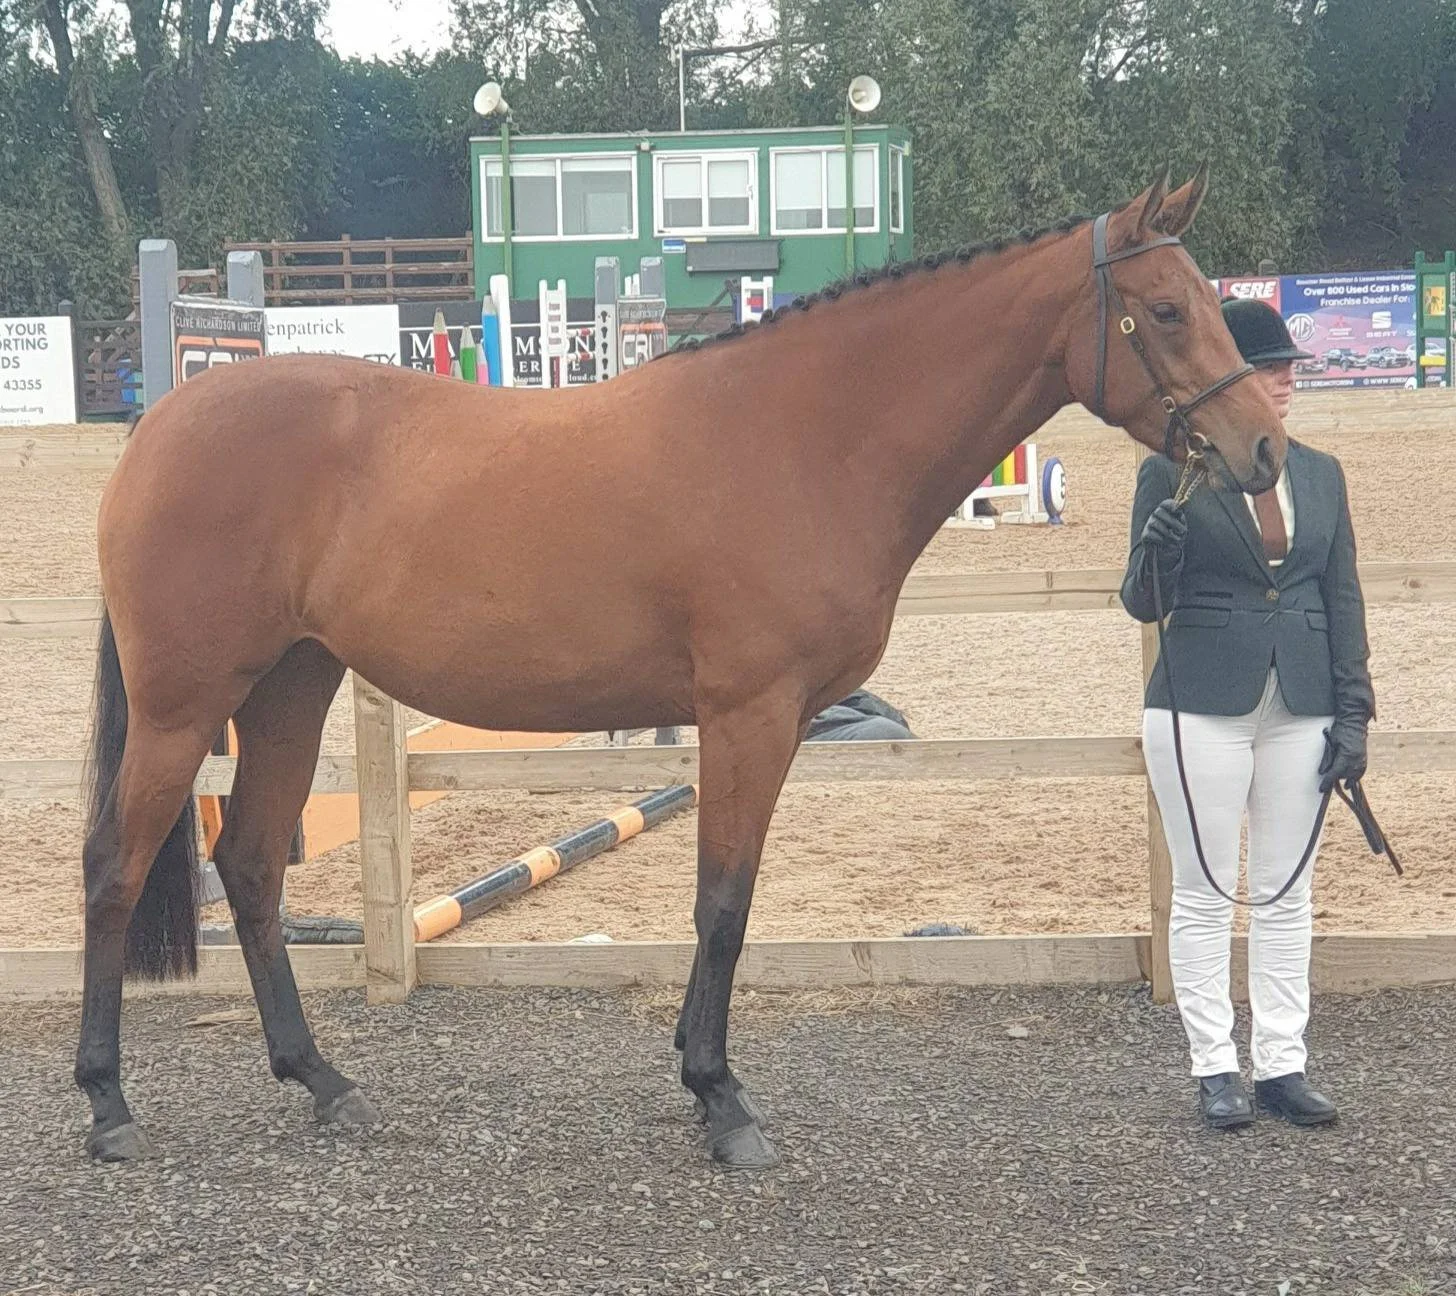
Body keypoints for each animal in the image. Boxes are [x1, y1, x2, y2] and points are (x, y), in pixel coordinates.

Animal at [75, 164, 1284, 1169]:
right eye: (1166, 310)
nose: (1262, 450)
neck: (806, 435)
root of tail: (165, 420)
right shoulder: (749, 714)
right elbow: (723, 903)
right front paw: (720, 1099)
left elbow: (725, 903)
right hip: (186, 708)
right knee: (116, 871)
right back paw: (108, 1106)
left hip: (290, 688)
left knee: (250, 870)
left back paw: (322, 1081)